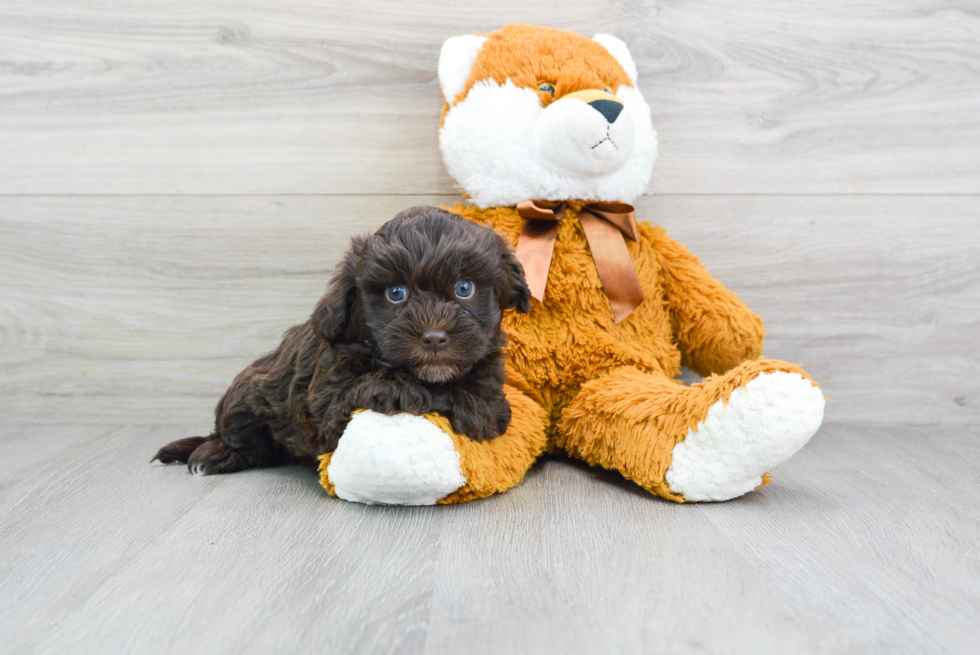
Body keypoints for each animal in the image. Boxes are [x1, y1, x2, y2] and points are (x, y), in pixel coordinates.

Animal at [155, 208, 528, 474]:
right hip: (245, 396)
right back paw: (214, 453)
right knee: (236, 434)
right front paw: (464, 404)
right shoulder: (332, 405)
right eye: (396, 293)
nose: (434, 338)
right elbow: (397, 382)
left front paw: (483, 403)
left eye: (465, 288)